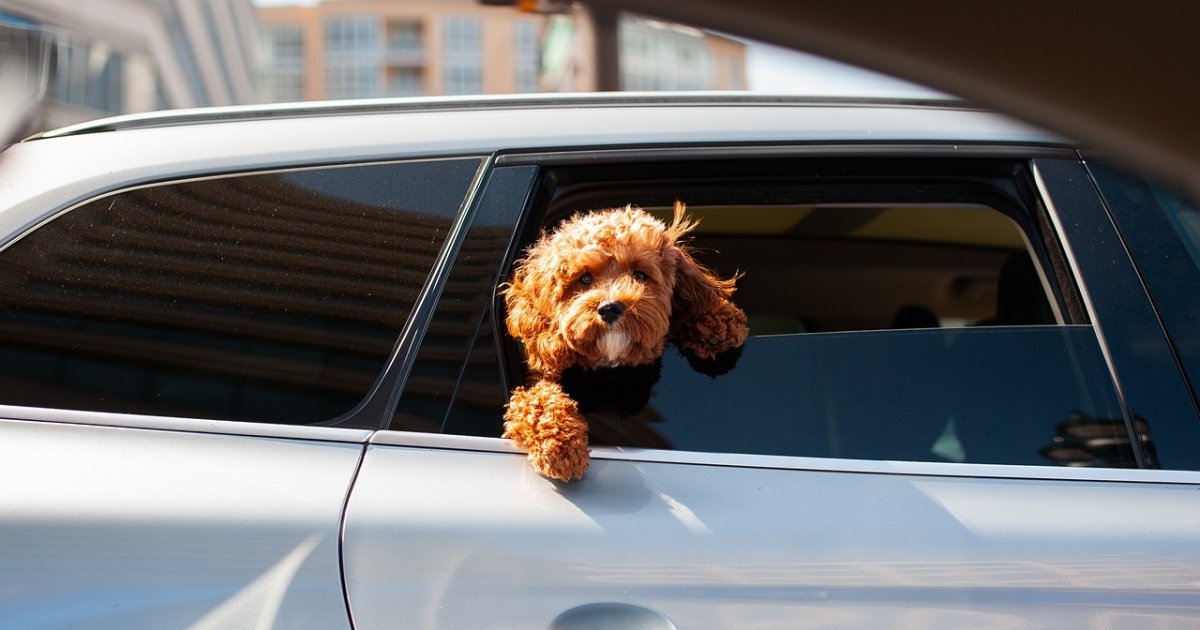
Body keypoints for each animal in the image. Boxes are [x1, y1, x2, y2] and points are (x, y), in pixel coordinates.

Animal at [499, 201, 744, 482]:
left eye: (639, 275)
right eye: (585, 278)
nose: (609, 308)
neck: (610, 366)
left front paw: (718, 320)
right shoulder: (536, 381)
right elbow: (536, 401)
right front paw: (561, 446)